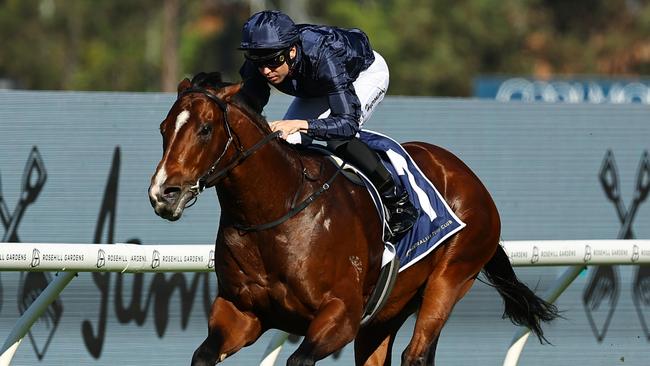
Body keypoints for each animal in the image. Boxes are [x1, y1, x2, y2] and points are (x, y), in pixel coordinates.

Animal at [148, 73, 556, 364]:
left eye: (205, 129)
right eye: (164, 128)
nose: (163, 193)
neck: (275, 211)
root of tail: (466, 174)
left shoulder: (340, 316)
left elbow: (299, 359)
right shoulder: (242, 313)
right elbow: (203, 355)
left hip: (453, 275)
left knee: (416, 354)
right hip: (387, 312)